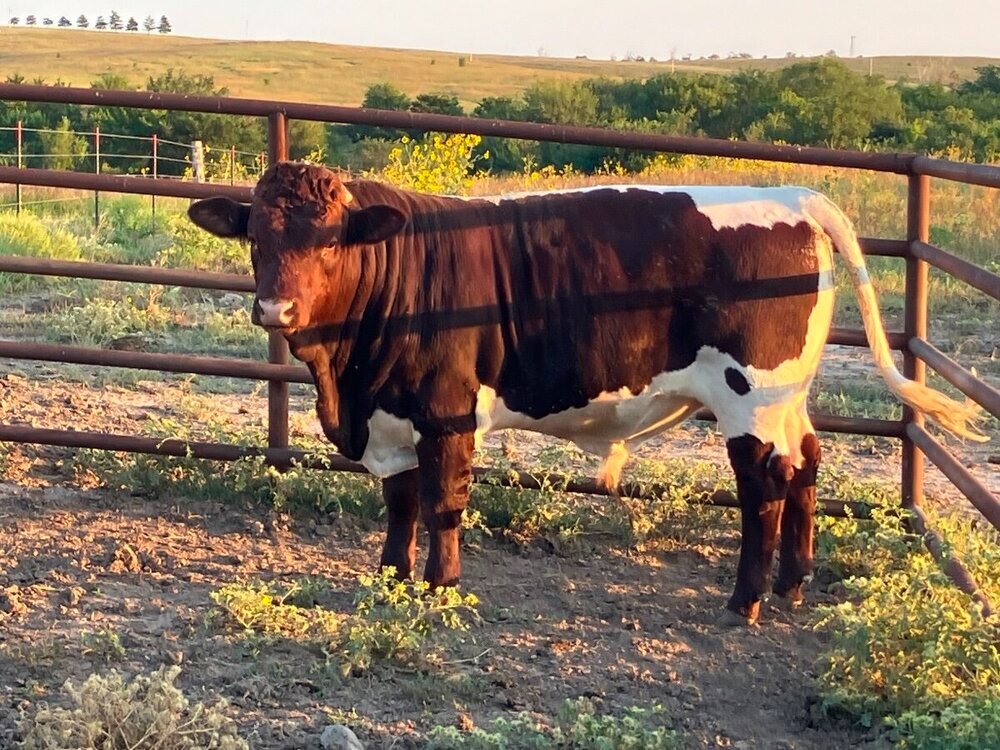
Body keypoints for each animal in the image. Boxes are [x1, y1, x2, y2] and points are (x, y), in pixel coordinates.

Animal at [188, 162, 983, 626]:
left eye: (329, 240)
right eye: (254, 236)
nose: (275, 310)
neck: (347, 377)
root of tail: (789, 194)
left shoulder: (446, 411)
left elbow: (442, 504)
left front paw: (441, 590)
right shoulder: (389, 415)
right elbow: (400, 502)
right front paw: (390, 581)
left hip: (748, 394)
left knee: (765, 481)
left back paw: (747, 601)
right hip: (788, 396)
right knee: (809, 463)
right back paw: (793, 584)